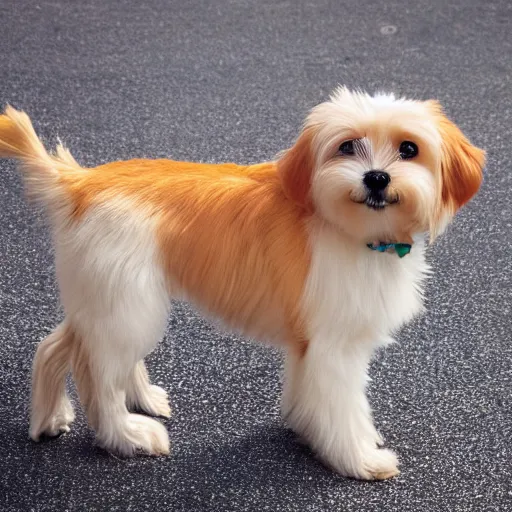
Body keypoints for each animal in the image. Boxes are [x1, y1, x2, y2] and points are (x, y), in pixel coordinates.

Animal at [0, 87, 484, 480]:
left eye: (409, 149)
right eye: (347, 146)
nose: (377, 178)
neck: (349, 229)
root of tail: (80, 182)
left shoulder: (309, 343)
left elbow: (312, 394)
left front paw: (308, 427)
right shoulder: (335, 348)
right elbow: (343, 406)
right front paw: (359, 460)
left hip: (107, 302)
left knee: (55, 348)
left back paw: (64, 416)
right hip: (125, 308)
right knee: (97, 379)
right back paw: (128, 434)